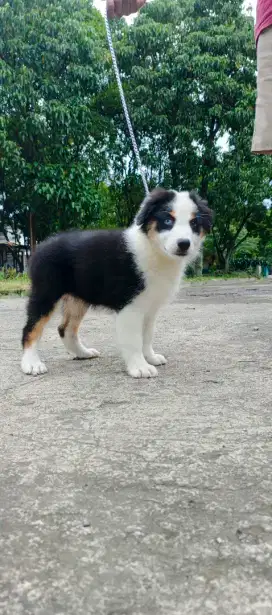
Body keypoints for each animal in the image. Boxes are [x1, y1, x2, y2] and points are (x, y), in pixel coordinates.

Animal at [20, 190, 212, 378]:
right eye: (167, 220)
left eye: (194, 223)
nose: (184, 244)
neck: (154, 250)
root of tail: (42, 245)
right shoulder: (130, 306)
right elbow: (134, 339)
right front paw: (140, 367)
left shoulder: (150, 306)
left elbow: (147, 335)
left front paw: (150, 357)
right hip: (46, 292)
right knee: (31, 329)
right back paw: (31, 364)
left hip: (78, 298)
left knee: (65, 328)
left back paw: (82, 353)